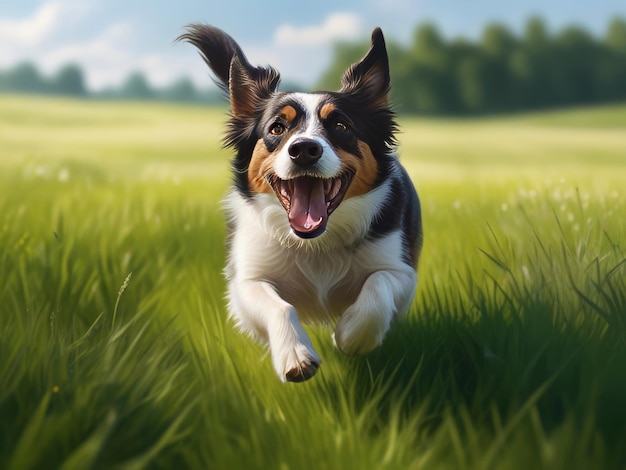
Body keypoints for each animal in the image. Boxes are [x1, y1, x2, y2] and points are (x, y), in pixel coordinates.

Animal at [178, 24, 422, 382]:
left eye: (340, 125)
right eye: (277, 128)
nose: (304, 149)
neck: (315, 244)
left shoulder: (402, 273)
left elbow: (378, 287)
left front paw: (351, 335)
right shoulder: (246, 280)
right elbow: (277, 305)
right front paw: (295, 355)